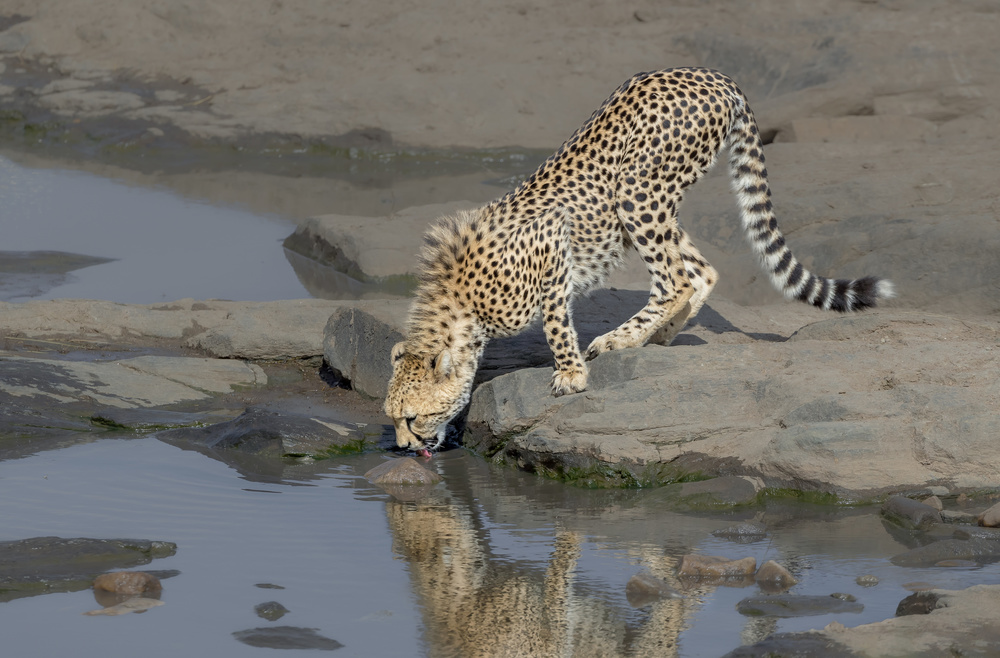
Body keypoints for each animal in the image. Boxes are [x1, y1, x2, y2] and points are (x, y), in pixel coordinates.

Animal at [385, 66, 894, 453]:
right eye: (391, 418)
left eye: (412, 417)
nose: (406, 447)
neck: (462, 305)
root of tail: (713, 74)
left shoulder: (551, 246)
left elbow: (555, 324)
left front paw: (571, 375)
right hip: (652, 204)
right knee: (700, 271)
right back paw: (655, 337)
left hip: (635, 189)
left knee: (676, 280)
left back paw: (620, 338)